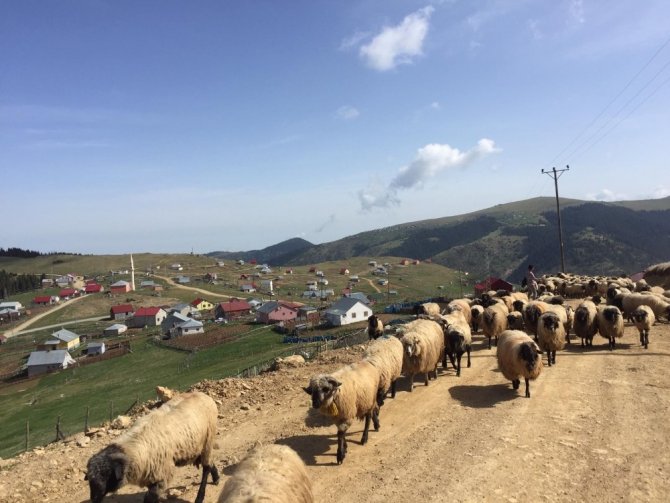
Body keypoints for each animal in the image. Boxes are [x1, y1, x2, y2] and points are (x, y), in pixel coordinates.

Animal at [85, 392, 219, 503]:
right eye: (90, 479)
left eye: (106, 474)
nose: (94, 499)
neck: (133, 448)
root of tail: (204, 395)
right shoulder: (151, 477)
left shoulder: (161, 476)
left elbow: (149, 499)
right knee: (210, 462)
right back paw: (216, 478)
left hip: (208, 439)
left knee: (206, 467)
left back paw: (200, 497)